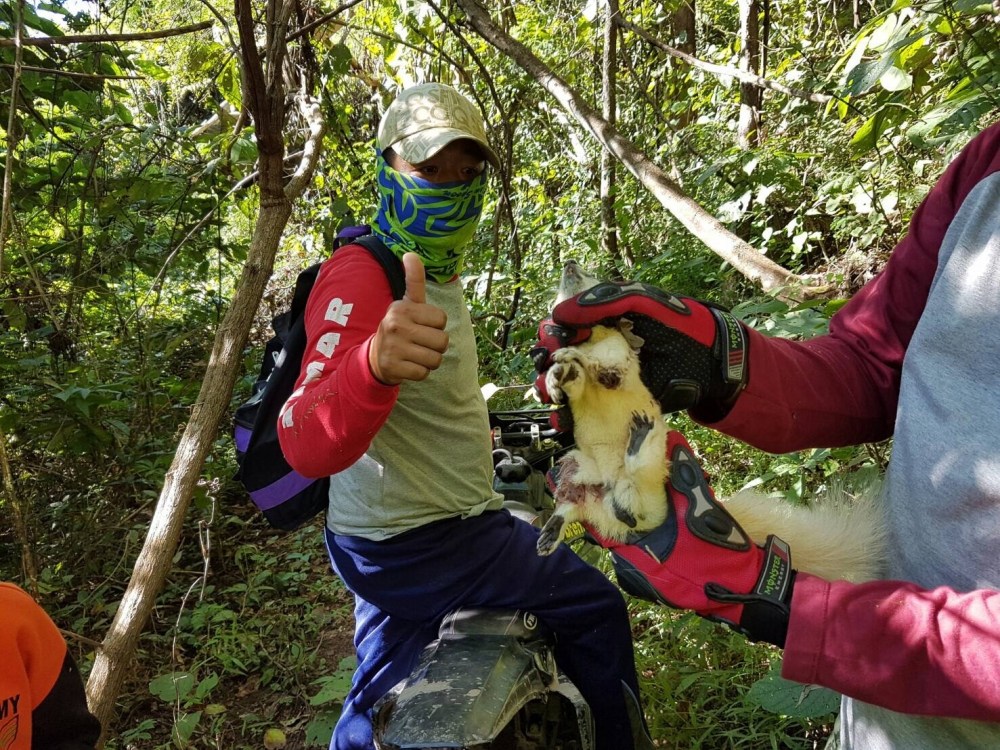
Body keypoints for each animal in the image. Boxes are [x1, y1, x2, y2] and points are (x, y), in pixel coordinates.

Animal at [536, 262, 888, 584]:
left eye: (599, 281)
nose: (569, 262)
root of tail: (609, 494)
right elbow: (575, 381)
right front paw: (554, 378)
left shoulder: (614, 359)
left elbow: (603, 363)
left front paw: (567, 358)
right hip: (575, 468)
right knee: (573, 507)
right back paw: (548, 536)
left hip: (644, 481)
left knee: (638, 491)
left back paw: (640, 438)